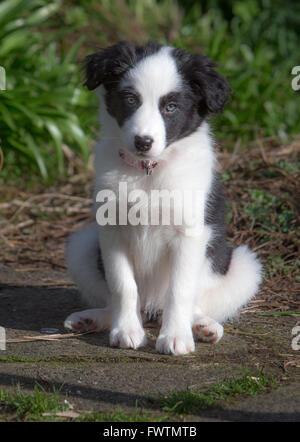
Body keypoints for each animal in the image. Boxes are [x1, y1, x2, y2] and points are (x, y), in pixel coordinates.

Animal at [63, 39, 262, 354]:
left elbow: (179, 289)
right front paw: (126, 331)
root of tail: (152, 311)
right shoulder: (112, 229)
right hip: (82, 246)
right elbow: (123, 285)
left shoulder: (189, 233)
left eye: (171, 107)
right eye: (130, 100)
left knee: (196, 303)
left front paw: (176, 337)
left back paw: (202, 327)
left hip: (243, 266)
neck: (148, 171)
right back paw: (93, 319)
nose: (143, 142)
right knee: (117, 300)